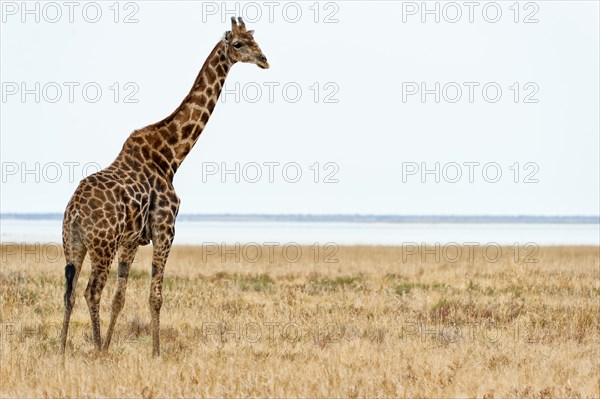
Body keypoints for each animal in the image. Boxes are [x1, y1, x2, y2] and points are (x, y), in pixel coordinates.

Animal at [59, 17, 270, 358]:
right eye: (239, 44)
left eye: (255, 39)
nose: (264, 60)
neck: (172, 155)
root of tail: (75, 212)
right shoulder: (165, 228)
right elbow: (155, 296)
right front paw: (155, 353)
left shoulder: (131, 240)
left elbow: (120, 298)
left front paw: (111, 345)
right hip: (102, 245)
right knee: (92, 291)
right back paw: (96, 351)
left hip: (73, 244)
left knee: (70, 291)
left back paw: (63, 350)